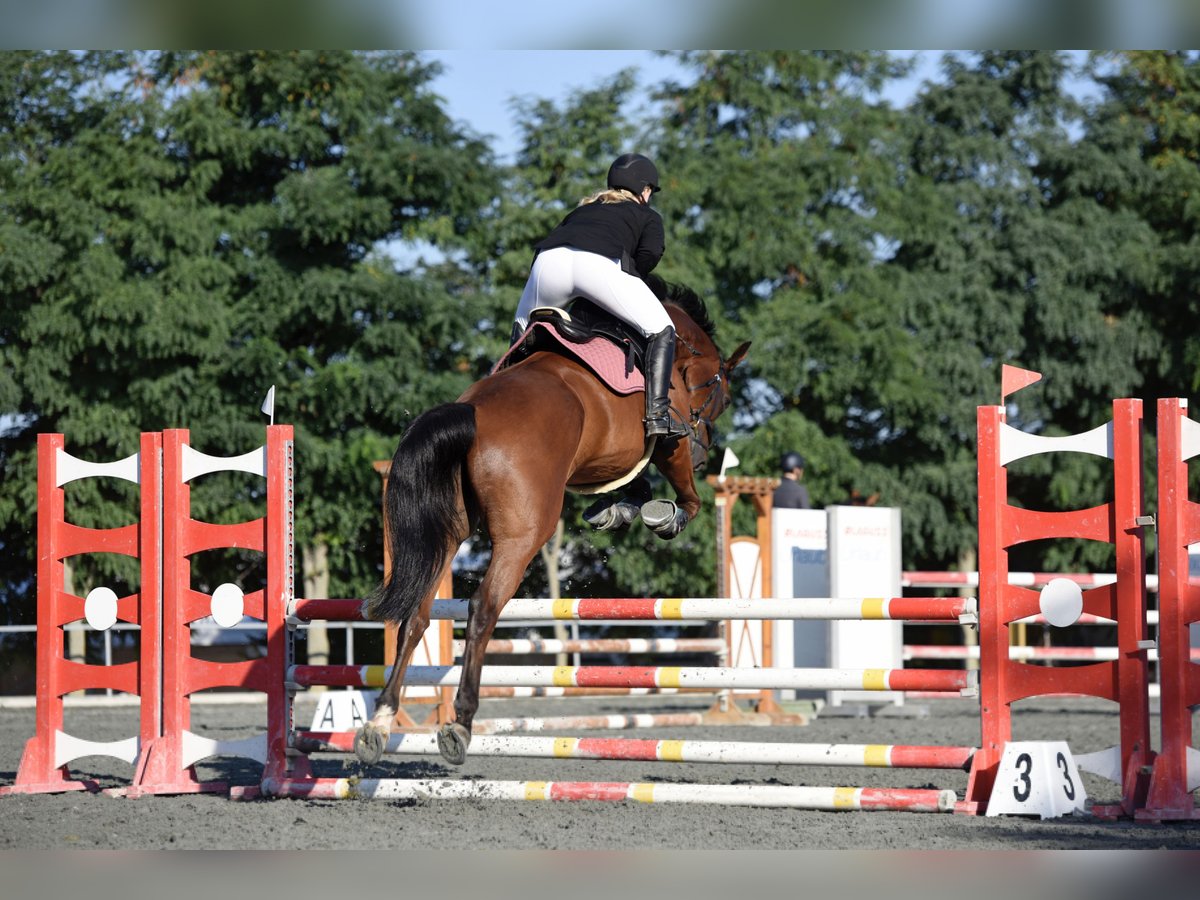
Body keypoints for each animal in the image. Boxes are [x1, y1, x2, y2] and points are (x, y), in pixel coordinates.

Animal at [353, 281, 750, 767]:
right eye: (723, 399)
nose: (703, 452)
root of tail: (471, 412)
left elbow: (633, 484)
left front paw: (614, 510)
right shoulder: (666, 440)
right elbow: (687, 495)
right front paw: (664, 517)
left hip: (447, 533)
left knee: (415, 616)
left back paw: (379, 723)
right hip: (522, 536)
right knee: (483, 608)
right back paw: (459, 724)